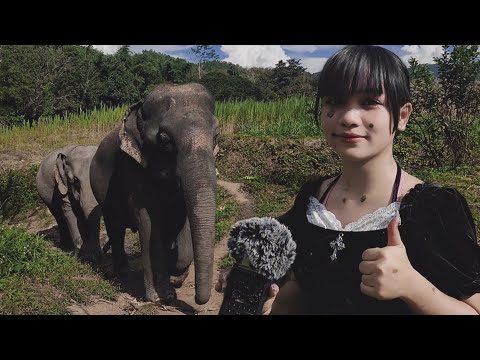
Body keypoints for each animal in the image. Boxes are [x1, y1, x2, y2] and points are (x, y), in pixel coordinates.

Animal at [90, 83, 219, 306]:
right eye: (164, 140)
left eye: (216, 136)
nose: (198, 300)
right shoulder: (133, 170)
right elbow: (149, 224)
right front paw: (159, 297)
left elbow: (181, 223)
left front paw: (175, 277)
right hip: (102, 191)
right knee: (115, 226)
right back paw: (121, 273)